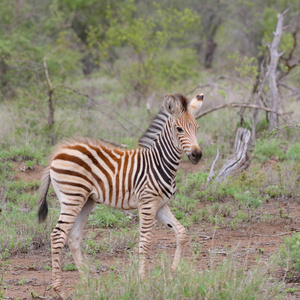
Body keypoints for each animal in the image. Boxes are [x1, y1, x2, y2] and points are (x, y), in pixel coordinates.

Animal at [36, 92, 203, 298]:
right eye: (179, 129)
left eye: (197, 128)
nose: (197, 155)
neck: (160, 163)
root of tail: (57, 153)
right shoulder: (147, 204)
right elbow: (145, 242)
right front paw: (142, 283)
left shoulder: (160, 206)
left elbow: (181, 233)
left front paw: (171, 276)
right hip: (71, 198)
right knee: (58, 236)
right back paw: (60, 291)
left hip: (86, 201)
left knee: (73, 237)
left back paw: (89, 282)